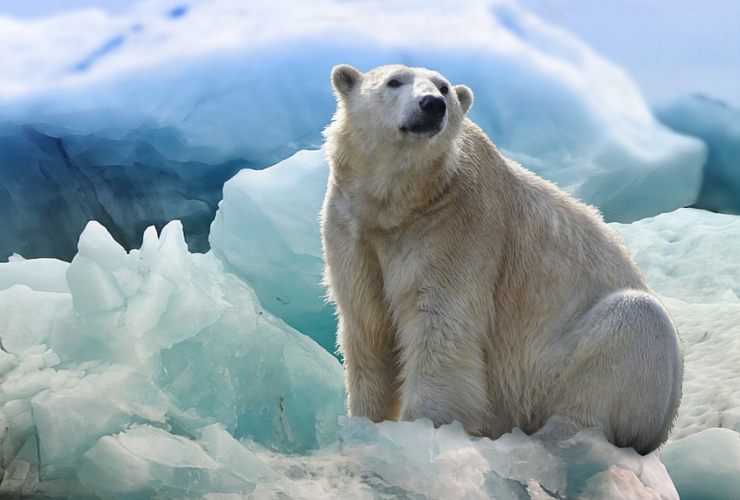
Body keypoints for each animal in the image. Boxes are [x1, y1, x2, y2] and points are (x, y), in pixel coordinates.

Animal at [320, 63, 682, 454]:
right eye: (394, 81)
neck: (403, 203)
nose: (432, 105)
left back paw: (554, 438)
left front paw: (423, 429)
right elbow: (368, 327)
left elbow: (440, 327)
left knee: (632, 325)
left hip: (557, 368)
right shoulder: (353, 230)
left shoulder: (456, 226)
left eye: (444, 88)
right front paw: (365, 425)